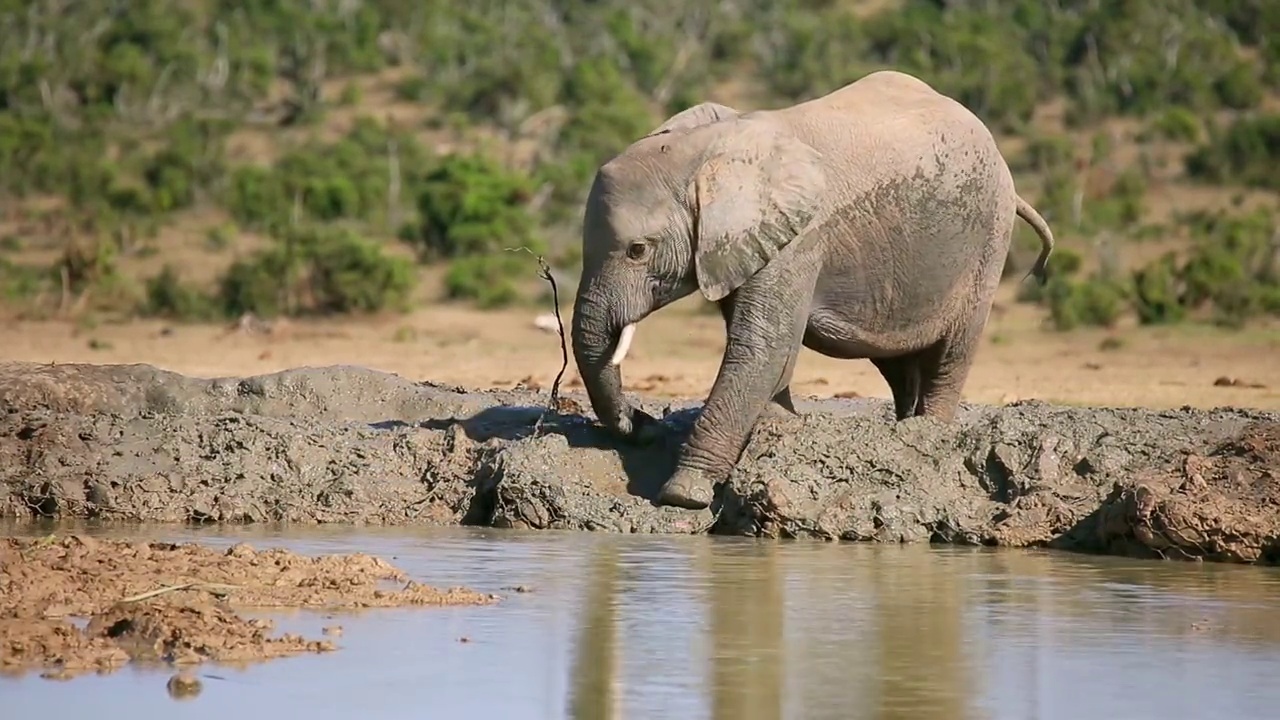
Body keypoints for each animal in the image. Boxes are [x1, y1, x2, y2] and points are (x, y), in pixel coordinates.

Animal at [570, 65, 1049, 504]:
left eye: (637, 250)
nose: (645, 424)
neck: (707, 153)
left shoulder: (798, 239)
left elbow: (760, 347)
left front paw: (684, 494)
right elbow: (766, 352)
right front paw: (780, 426)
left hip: (988, 241)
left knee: (950, 356)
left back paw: (927, 430)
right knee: (898, 363)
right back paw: (903, 429)